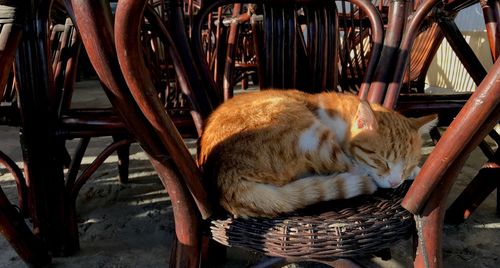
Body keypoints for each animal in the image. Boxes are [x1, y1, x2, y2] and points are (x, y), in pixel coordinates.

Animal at [197, 90, 436, 218]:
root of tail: (227, 179)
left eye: (405, 165)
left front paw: (414, 170)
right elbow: (361, 168)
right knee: (352, 171)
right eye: (380, 161)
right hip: (312, 135)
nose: (396, 183)